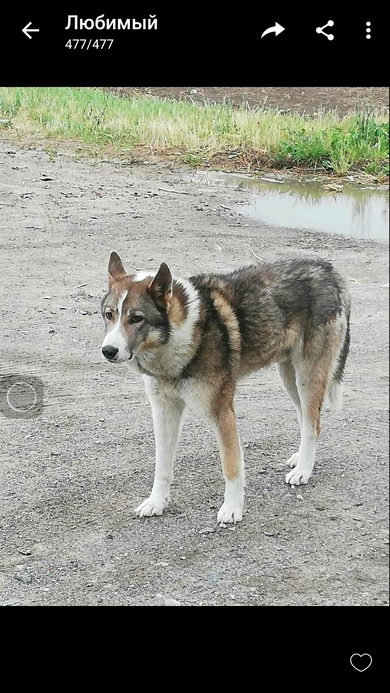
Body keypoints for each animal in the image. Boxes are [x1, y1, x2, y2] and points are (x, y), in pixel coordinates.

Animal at [100, 251, 350, 520]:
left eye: (136, 318)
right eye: (109, 315)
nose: (108, 351)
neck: (182, 334)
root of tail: (327, 269)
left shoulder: (222, 411)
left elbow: (231, 466)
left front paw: (232, 509)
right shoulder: (164, 411)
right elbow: (162, 466)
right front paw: (157, 501)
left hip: (307, 378)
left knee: (313, 423)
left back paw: (303, 469)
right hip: (290, 379)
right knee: (307, 418)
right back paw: (301, 459)